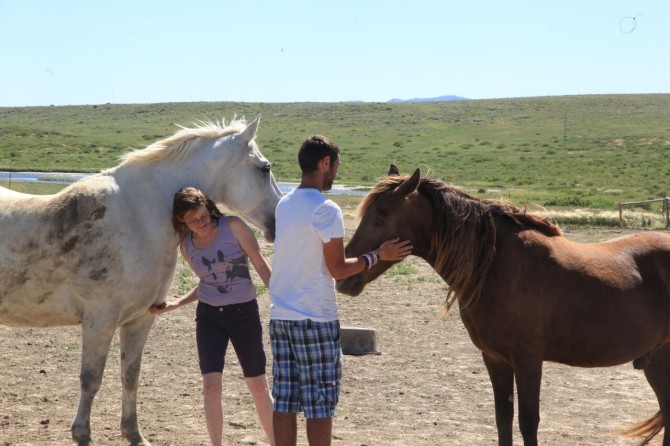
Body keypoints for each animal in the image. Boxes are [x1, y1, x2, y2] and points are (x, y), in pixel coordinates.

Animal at [0, 116, 282, 446]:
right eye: (264, 168)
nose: (278, 222)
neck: (138, 219)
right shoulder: (100, 320)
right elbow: (91, 379)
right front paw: (82, 434)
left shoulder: (140, 318)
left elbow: (130, 376)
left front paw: (133, 433)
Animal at [338, 166, 670, 446]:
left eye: (380, 218)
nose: (345, 275)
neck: (496, 265)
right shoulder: (495, 359)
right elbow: (503, 419)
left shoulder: (527, 360)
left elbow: (528, 422)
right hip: (657, 361)